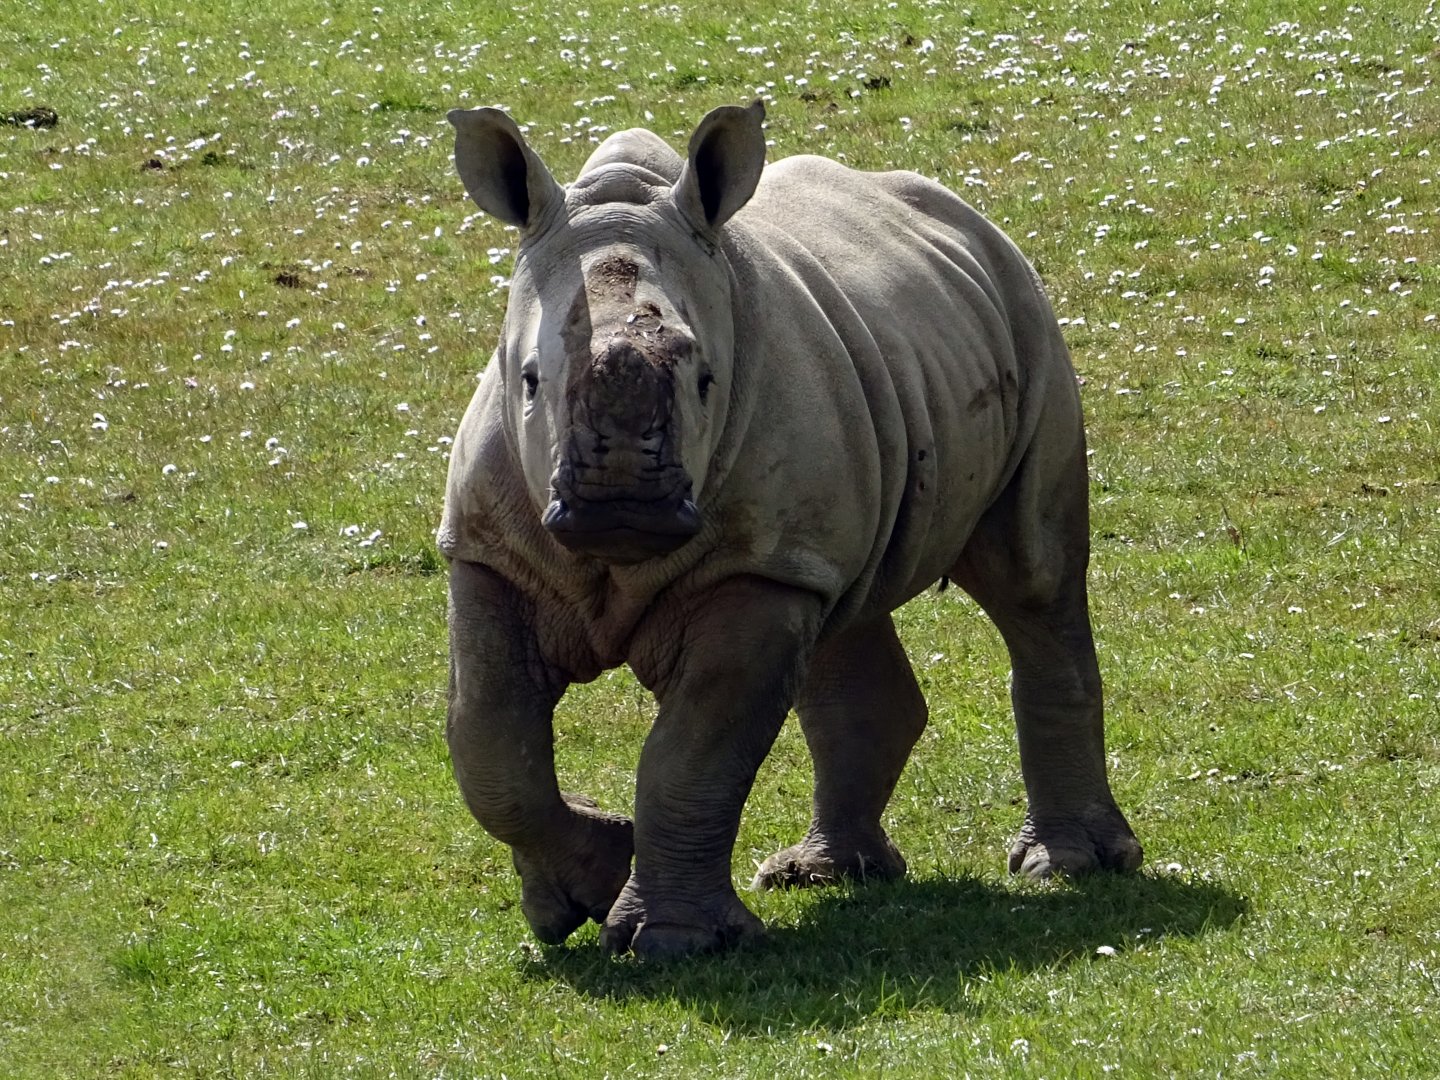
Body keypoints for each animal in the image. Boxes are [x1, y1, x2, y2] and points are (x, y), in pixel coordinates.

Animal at [438, 100, 1142, 957]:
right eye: (530, 381)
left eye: (707, 379)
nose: (621, 504)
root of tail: (966, 216)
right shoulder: (488, 553)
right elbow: (489, 745)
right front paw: (581, 892)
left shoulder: (754, 570)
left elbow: (694, 754)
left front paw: (673, 943)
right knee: (847, 608)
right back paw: (824, 873)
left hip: (1026, 315)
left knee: (1033, 580)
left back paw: (1067, 865)